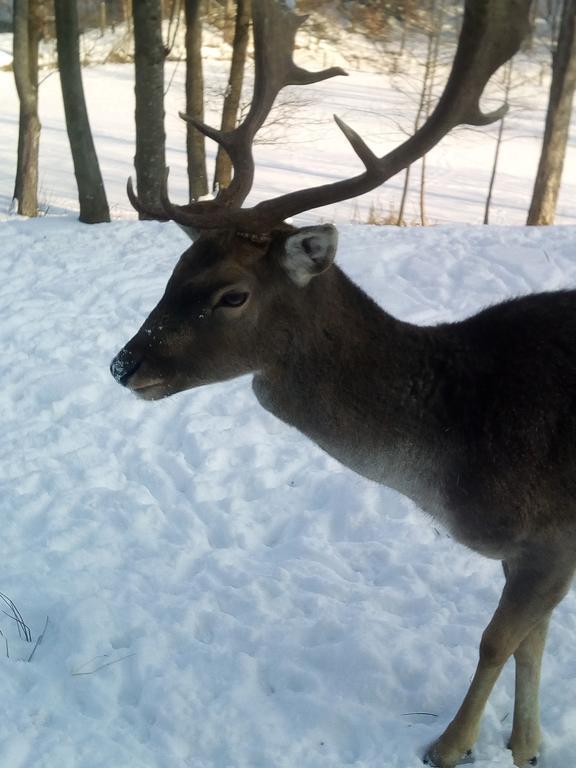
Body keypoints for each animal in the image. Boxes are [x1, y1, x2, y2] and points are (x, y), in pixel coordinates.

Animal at [109, 3, 576, 764]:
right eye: (177, 269)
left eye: (231, 294)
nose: (125, 364)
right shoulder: (535, 553)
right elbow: (530, 643)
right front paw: (526, 743)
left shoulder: (554, 535)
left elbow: (496, 641)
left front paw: (449, 746)